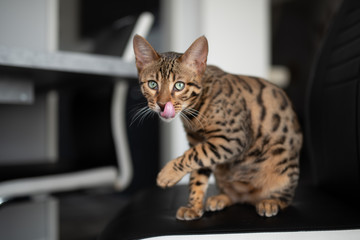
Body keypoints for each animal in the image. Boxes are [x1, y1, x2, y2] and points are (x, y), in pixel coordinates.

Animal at [132, 34, 300, 220]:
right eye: (152, 84)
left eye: (179, 85)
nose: (162, 105)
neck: (194, 113)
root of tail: (249, 198)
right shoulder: (200, 142)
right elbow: (197, 172)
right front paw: (193, 207)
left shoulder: (231, 139)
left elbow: (192, 155)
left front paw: (167, 174)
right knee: (235, 197)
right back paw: (221, 198)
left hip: (283, 165)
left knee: (286, 198)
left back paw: (271, 202)